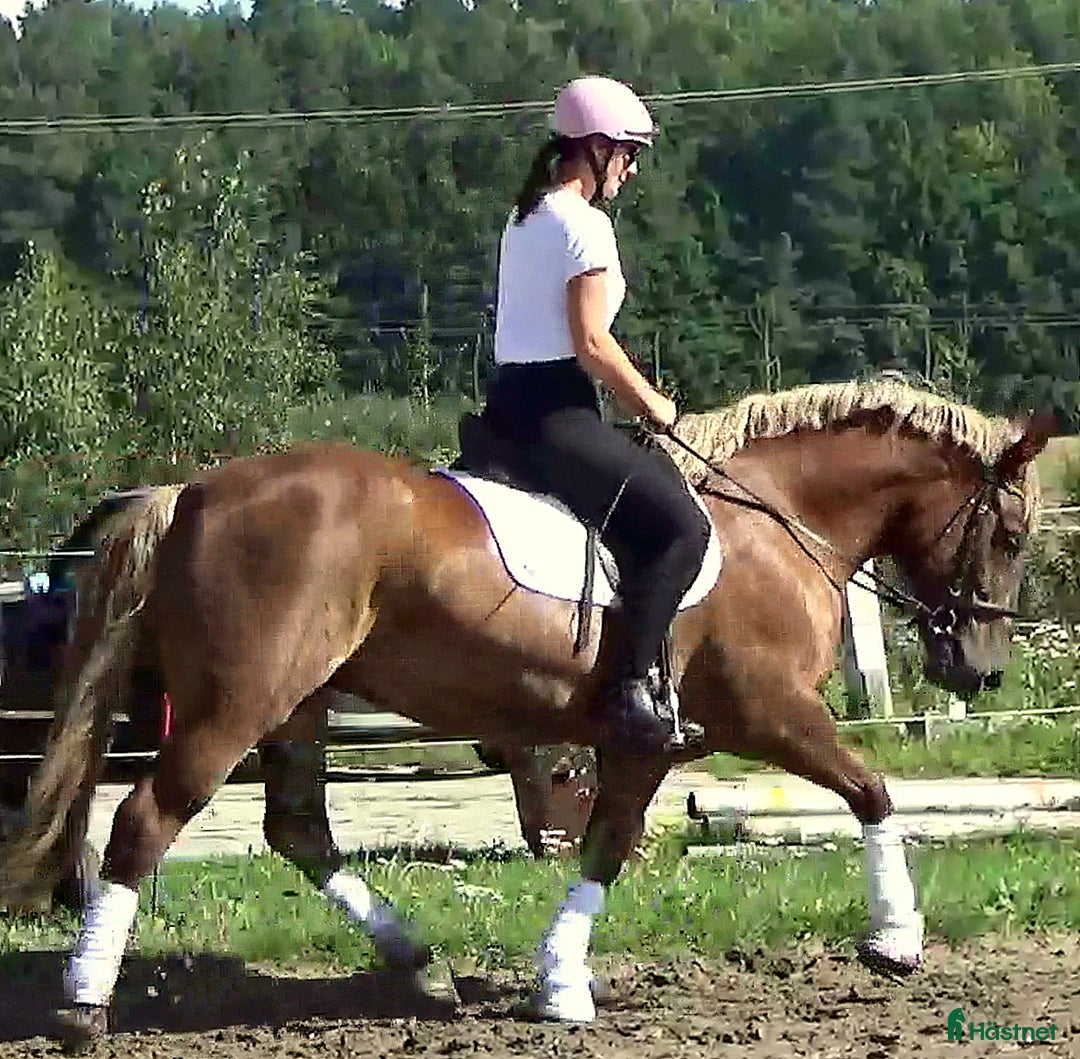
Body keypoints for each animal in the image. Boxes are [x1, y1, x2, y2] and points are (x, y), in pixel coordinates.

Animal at [0, 377, 1050, 1048]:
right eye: (1008, 533)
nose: (983, 668)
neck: (776, 520)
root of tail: (189, 493)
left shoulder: (646, 742)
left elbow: (608, 844)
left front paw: (560, 983)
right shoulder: (768, 711)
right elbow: (872, 789)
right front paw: (896, 941)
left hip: (299, 705)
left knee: (298, 828)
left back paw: (418, 964)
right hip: (233, 705)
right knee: (145, 822)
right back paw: (85, 1004)